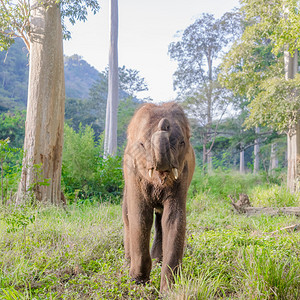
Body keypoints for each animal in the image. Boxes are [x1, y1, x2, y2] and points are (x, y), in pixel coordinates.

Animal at [122, 102, 195, 292]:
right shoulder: (133, 174)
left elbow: (174, 219)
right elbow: (140, 217)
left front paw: (170, 290)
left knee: (161, 219)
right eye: (141, 144)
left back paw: (157, 261)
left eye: (182, 142)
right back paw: (127, 262)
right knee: (127, 216)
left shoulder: (183, 174)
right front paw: (138, 282)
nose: (165, 124)